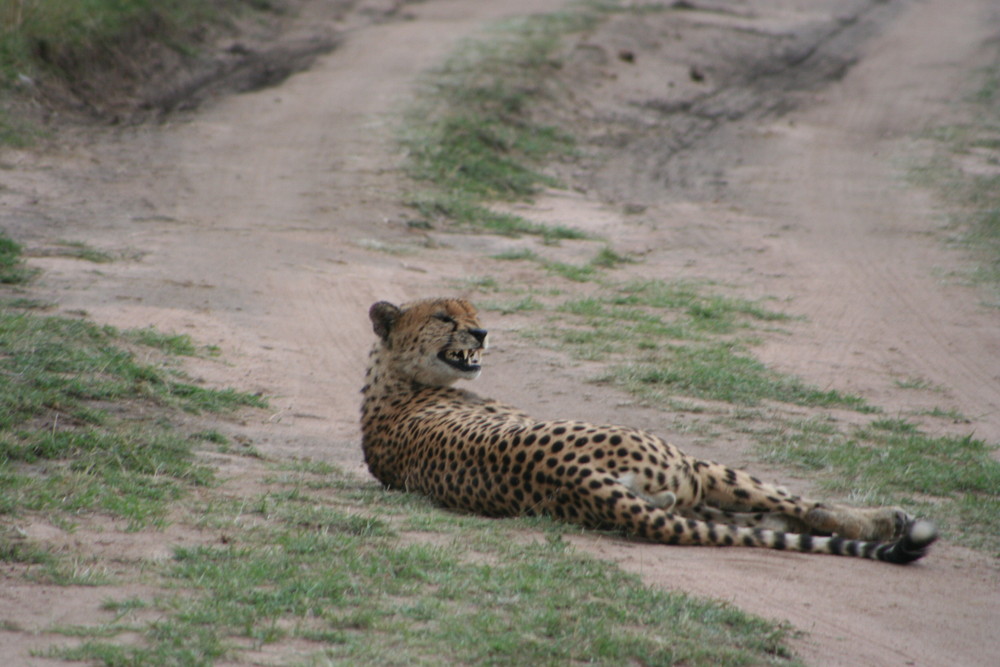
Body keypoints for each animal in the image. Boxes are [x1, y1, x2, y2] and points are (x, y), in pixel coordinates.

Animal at [360, 300, 936, 568]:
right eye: (444, 316)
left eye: (474, 313)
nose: (481, 333)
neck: (396, 378)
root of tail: (575, 474)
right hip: (690, 468)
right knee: (796, 505)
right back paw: (890, 520)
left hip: (674, 492)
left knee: (753, 515)